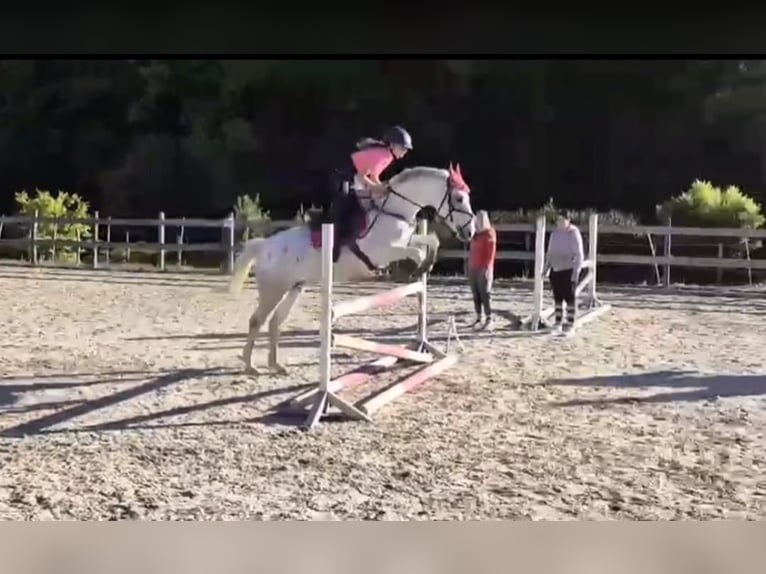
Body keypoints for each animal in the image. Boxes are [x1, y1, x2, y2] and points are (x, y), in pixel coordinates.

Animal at [226, 164, 474, 376]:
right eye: (459, 198)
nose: (469, 232)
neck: (393, 211)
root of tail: (264, 246)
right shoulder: (385, 251)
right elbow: (418, 253)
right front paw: (417, 269)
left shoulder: (406, 241)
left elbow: (431, 241)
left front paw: (426, 266)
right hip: (274, 289)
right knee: (257, 320)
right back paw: (249, 365)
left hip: (295, 287)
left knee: (275, 321)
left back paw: (275, 365)